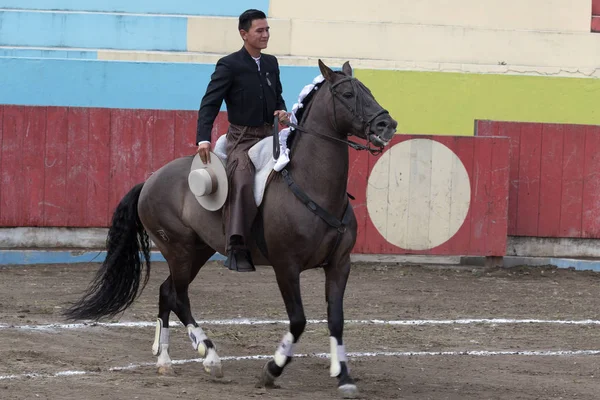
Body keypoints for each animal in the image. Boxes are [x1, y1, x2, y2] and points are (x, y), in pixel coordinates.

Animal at [64, 59, 398, 396]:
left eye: (369, 91)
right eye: (347, 94)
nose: (387, 125)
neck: (312, 186)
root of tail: (150, 180)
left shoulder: (340, 264)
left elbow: (336, 320)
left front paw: (344, 377)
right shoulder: (286, 266)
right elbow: (298, 320)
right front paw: (271, 370)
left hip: (198, 251)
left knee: (167, 291)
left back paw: (165, 361)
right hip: (179, 249)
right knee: (178, 296)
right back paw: (209, 357)